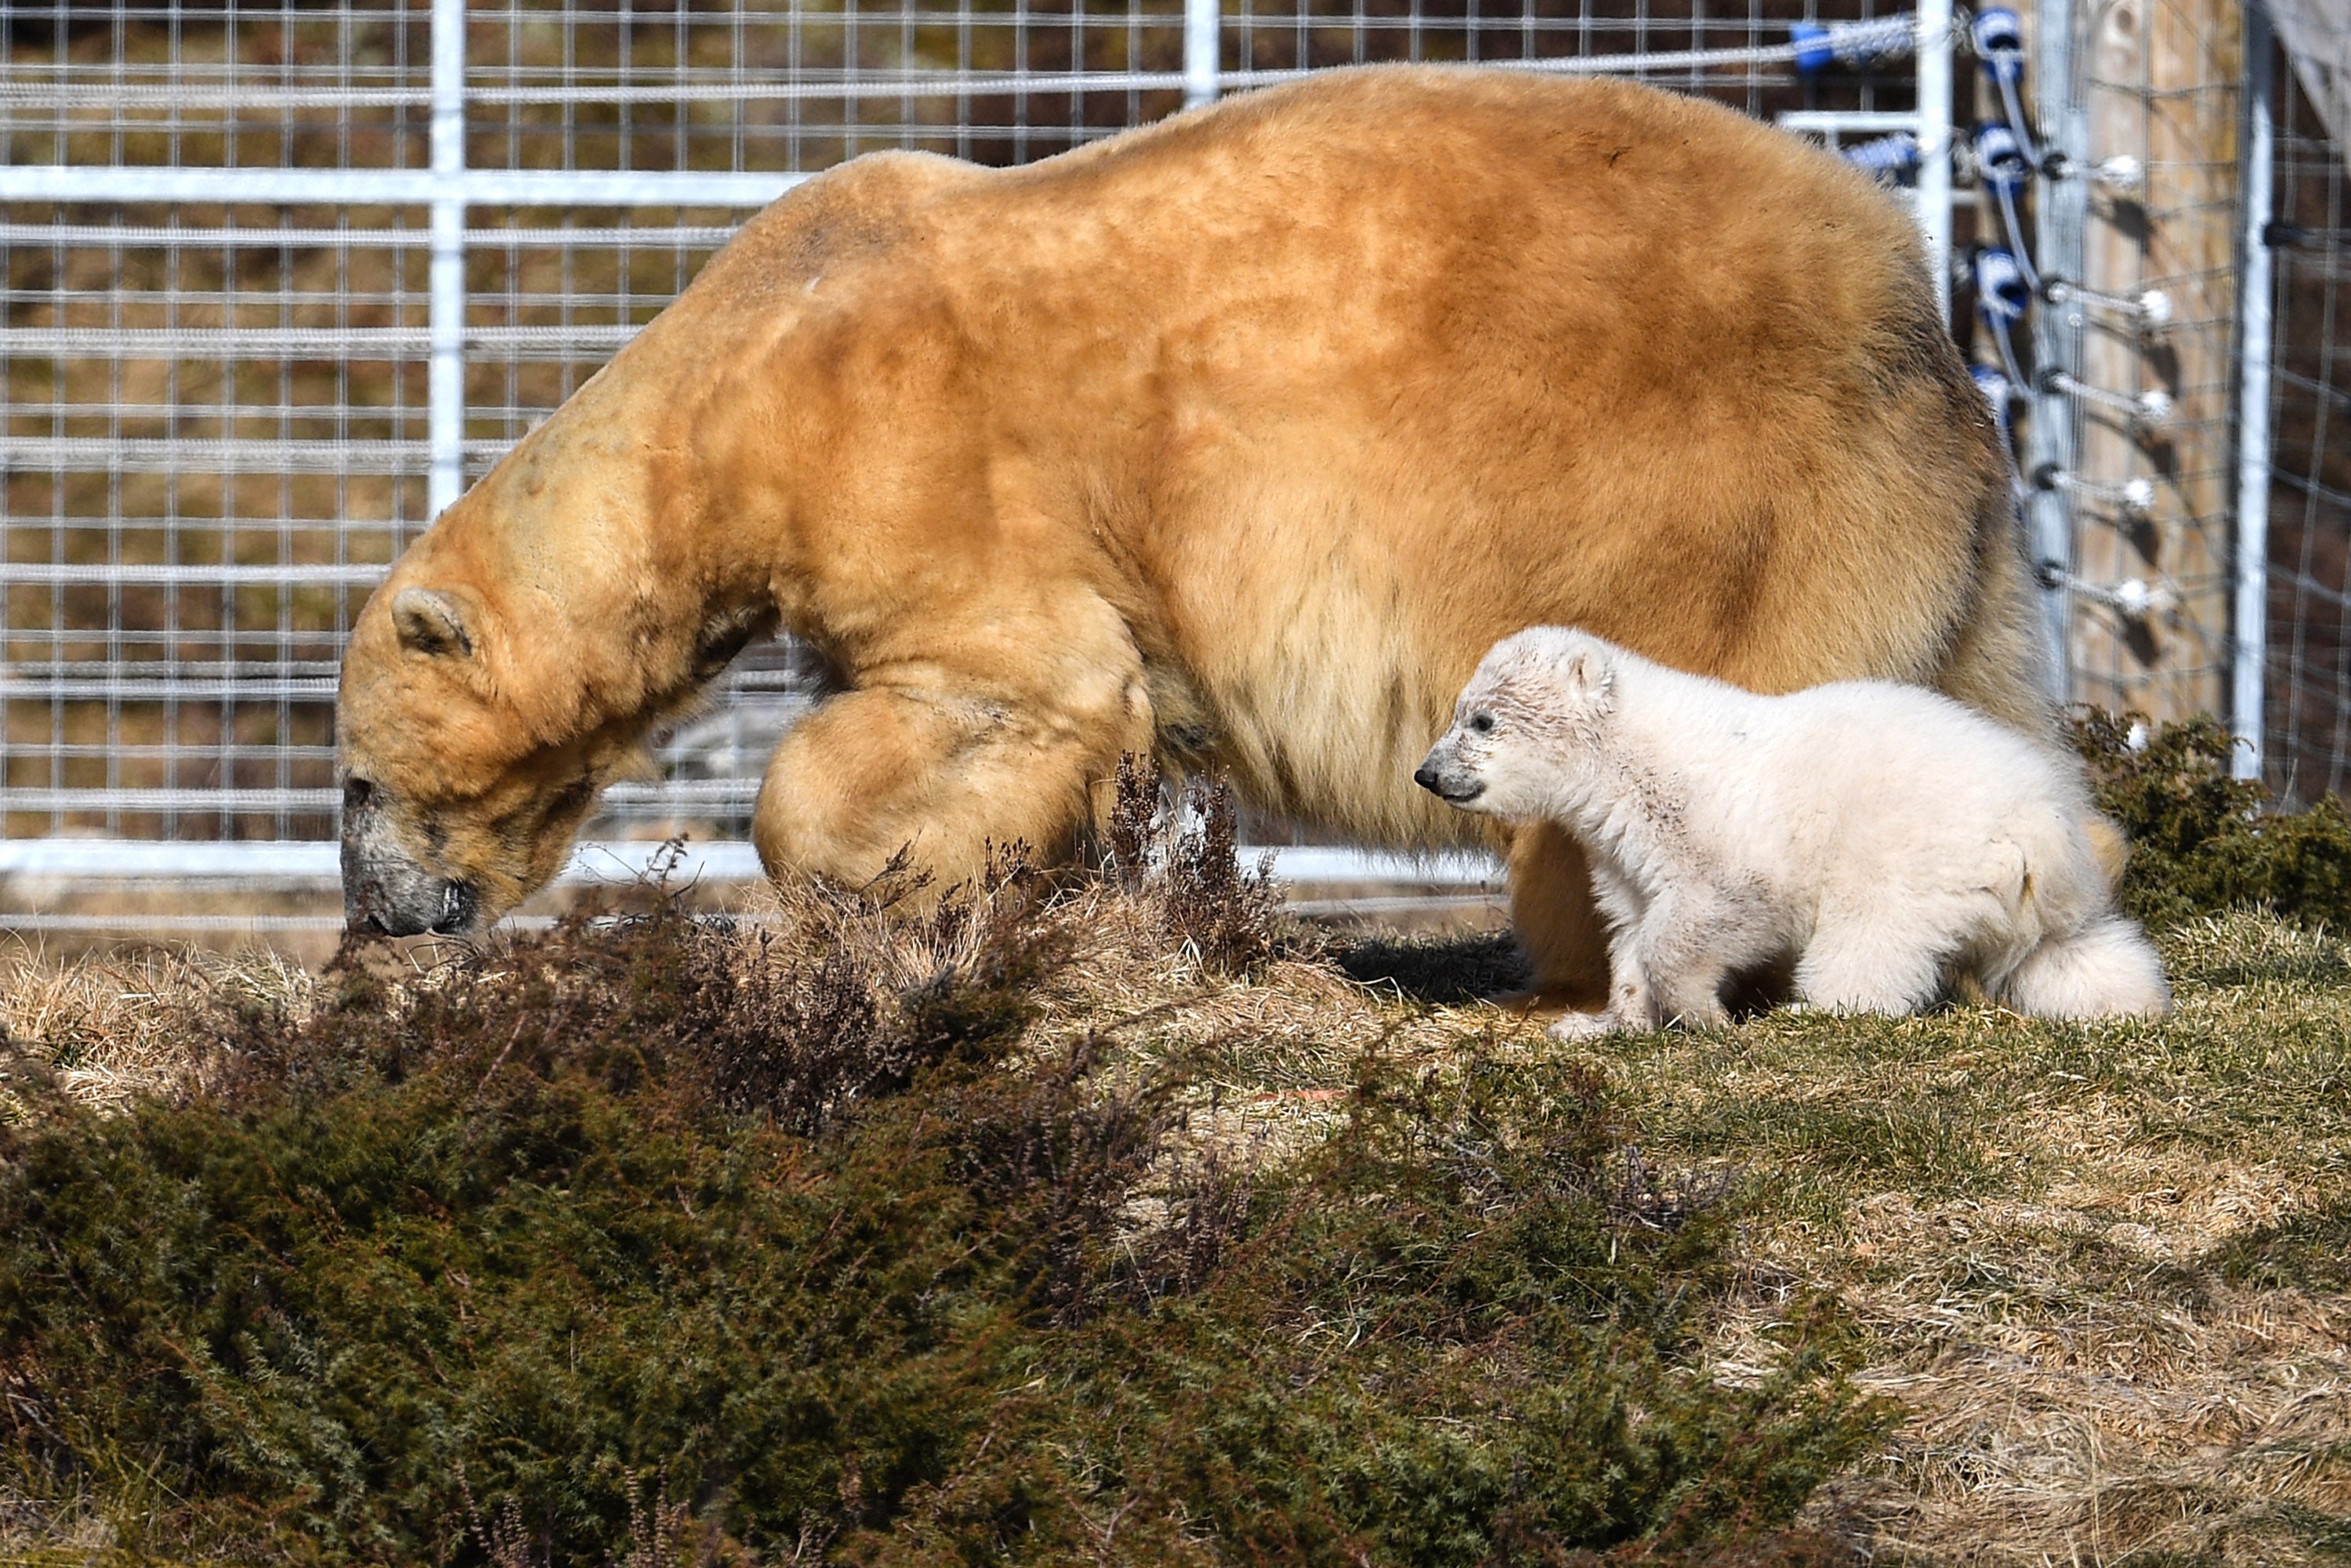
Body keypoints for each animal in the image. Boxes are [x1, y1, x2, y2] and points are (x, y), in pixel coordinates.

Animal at [336, 63, 2044, 1010]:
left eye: (355, 778)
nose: (371, 911)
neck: (741, 382)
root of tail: (1911, 297)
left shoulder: (928, 462)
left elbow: (1016, 683)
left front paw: (908, 878)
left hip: (1703, 506)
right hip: (1934, 540)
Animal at [1414, 627, 2172, 1032]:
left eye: (1481, 718)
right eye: (1459, 710)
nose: (1427, 772)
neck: (1633, 757)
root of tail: (2040, 823)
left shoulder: (1719, 826)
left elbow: (1718, 911)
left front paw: (1703, 1013)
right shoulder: (1623, 851)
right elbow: (1630, 925)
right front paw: (1601, 1023)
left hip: (1910, 858)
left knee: (1866, 943)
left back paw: (1818, 1010)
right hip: (2028, 898)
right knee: (2067, 954)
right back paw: (2130, 1001)